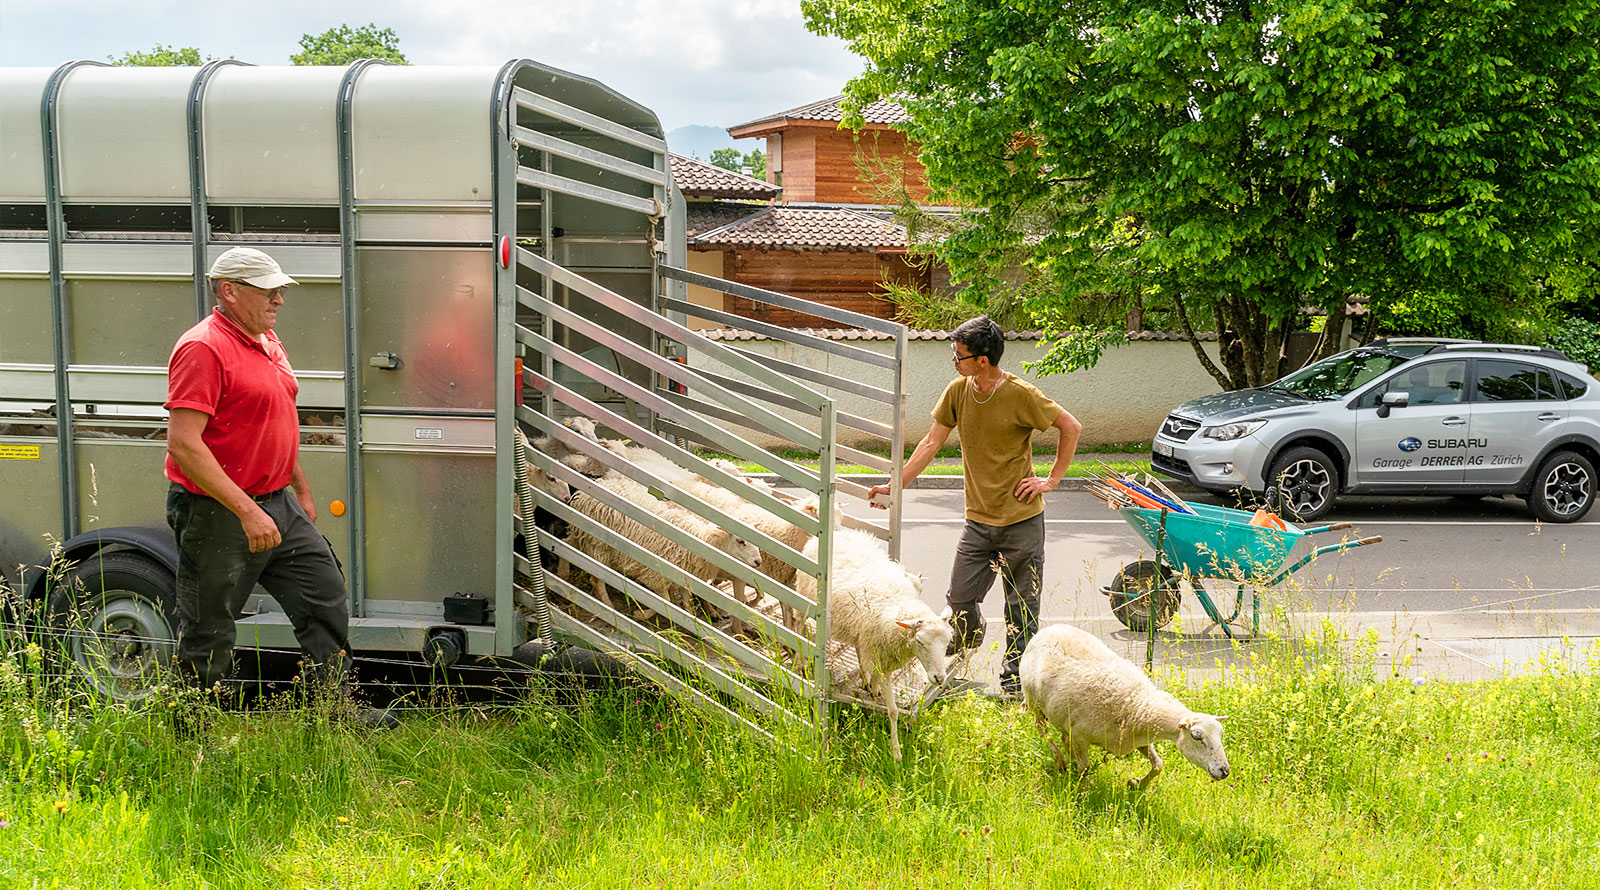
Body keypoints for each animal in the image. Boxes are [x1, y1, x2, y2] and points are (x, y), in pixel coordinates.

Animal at [800, 525, 947, 761]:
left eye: (947, 642)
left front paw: (874, 689)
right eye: (920, 642)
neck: (898, 604)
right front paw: (896, 754)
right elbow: (893, 711)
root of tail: (838, 531)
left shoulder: (881, 654)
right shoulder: (880, 656)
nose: (939, 678)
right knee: (794, 620)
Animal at [1017, 621, 1228, 790]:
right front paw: (1085, 790)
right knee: (1042, 730)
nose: (1224, 771)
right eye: (1196, 736)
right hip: (1034, 701)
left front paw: (1136, 785)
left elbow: (1158, 764)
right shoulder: (1080, 736)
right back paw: (1060, 760)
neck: (1136, 702)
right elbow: (1085, 767)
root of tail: (1046, 629)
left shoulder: (1138, 738)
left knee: (1061, 736)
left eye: (1220, 734)